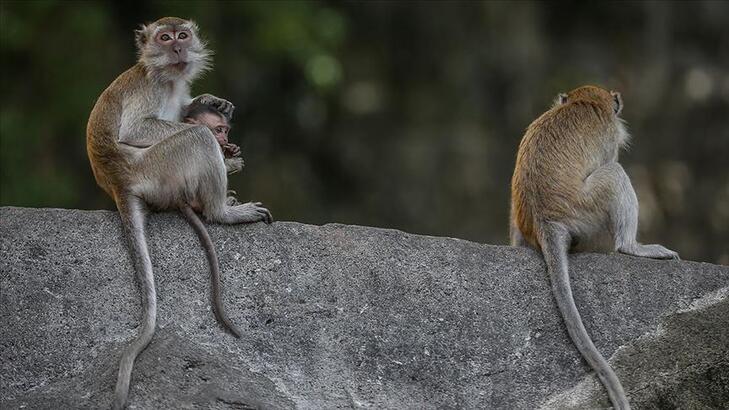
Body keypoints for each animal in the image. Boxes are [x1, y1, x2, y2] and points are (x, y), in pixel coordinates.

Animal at [86, 17, 272, 408]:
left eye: (183, 36)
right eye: (165, 37)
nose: (177, 48)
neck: (167, 77)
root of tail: (119, 183)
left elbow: (188, 105)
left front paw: (208, 100)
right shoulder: (150, 88)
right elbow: (138, 128)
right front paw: (220, 145)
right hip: (156, 168)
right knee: (195, 139)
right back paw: (222, 210)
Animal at [510, 85, 680, 408]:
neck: (581, 101)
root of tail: (546, 220)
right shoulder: (611, 134)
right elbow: (611, 160)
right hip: (587, 210)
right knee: (614, 173)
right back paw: (631, 247)